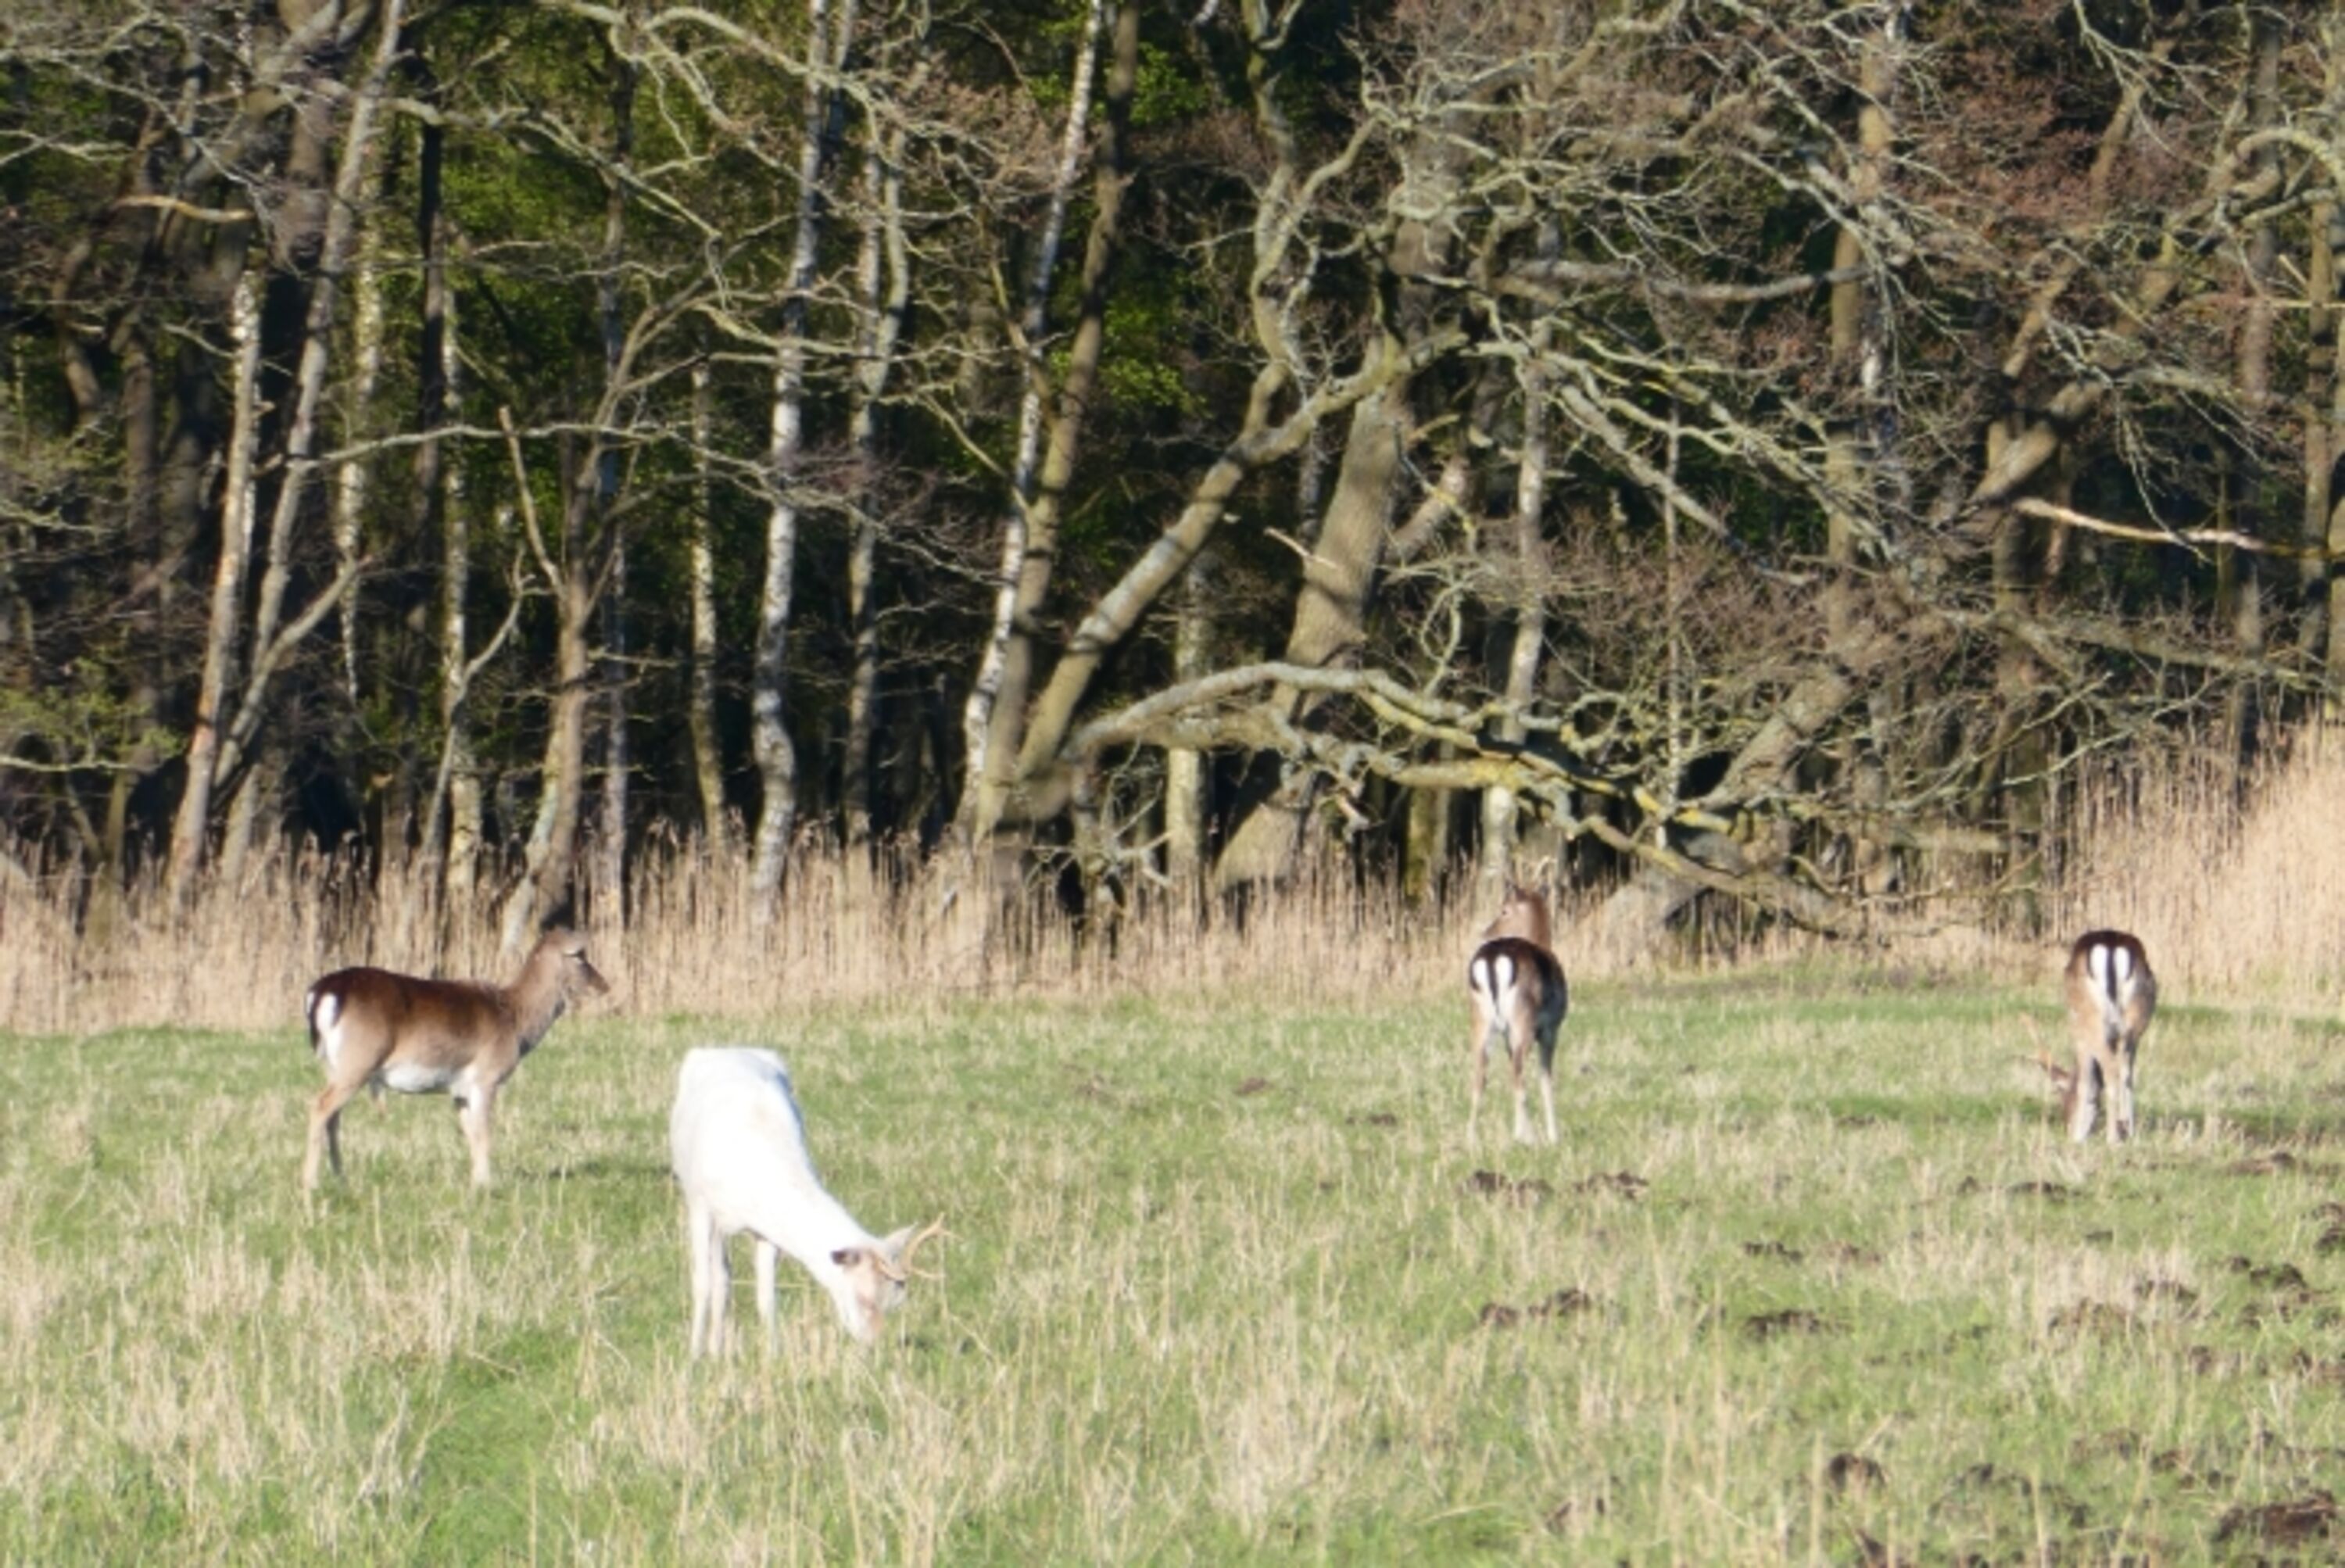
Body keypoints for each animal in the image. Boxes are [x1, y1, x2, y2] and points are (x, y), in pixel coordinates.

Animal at [300, 926, 610, 1190]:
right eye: (579, 955)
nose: (604, 986)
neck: (516, 1022)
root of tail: (321, 994)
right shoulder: (486, 1077)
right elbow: (484, 1133)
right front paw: (486, 1186)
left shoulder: (459, 1089)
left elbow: (470, 1134)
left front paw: (476, 1182)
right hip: (359, 1061)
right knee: (320, 1106)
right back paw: (311, 1184)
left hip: (333, 1065)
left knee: (334, 1116)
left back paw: (341, 1180)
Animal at [668, 1046, 946, 1353]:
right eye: (864, 1297)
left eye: (895, 1302)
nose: (871, 1345)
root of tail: (721, 1048)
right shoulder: (700, 1205)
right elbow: (702, 1284)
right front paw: (694, 1355)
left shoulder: (767, 1232)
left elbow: (767, 1296)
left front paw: (773, 1354)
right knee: (719, 1278)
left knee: (725, 1278)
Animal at [1467, 879, 1570, 1144]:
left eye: (1504, 910)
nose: (1485, 933)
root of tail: (1492, 960)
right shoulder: (1551, 1028)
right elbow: (1545, 1078)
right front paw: (1554, 1136)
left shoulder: (1507, 1035)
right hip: (1523, 1020)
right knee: (1517, 1074)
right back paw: (1526, 1138)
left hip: (1480, 1020)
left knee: (1480, 1074)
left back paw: (1471, 1139)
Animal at [2060, 929, 2156, 1144]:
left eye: (2067, 1100)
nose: (2068, 1129)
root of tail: (2111, 947)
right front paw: (2127, 1129)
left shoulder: (2079, 1034)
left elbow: (2086, 1081)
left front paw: (2078, 1138)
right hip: (2135, 1020)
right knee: (2126, 1072)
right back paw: (2127, 1131)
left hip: (2093, 1020)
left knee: (2111, 1070)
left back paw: (2112, 1138)